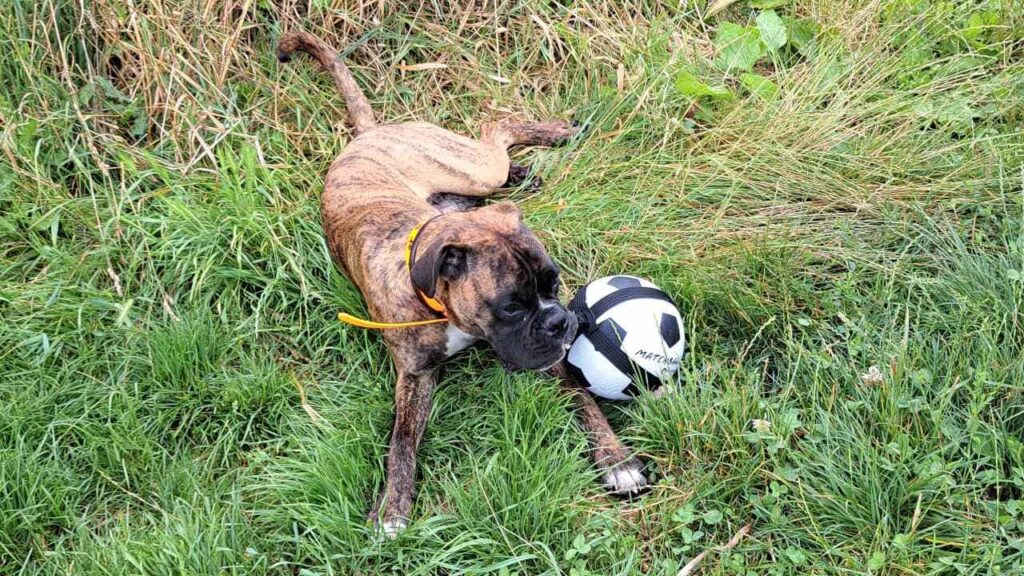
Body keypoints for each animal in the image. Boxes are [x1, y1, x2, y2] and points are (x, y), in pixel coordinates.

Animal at [278, 30, 647, 532]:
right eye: (511, 306)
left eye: (554, 285)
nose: (561, 322)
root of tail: (369, 134)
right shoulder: (415, 377)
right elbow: (402, 439)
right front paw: (393, 507)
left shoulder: (546, 358)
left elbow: (584, 399)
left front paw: (616, 461)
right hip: (469, 181)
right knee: (494, 136)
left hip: (474, 171)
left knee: (497, 128)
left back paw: (556, 133)